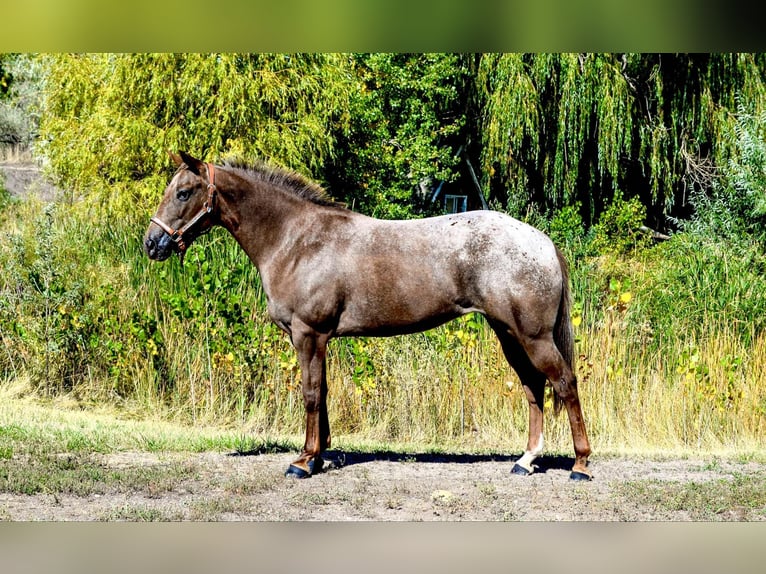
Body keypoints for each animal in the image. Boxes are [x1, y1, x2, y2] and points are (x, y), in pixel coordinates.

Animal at [142, 150, 592, 482]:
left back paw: (581, 465)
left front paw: (302, 462)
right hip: (509, 333)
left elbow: (310, 393)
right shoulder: (317, 338)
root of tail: (542, 242)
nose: (152, 243)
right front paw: (318, 456)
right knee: (534, 388)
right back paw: (525, 461)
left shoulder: (308, 334)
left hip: (533, 335)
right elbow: (322, 393)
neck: (296, 240)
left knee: (565, 383)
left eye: (184, 192)